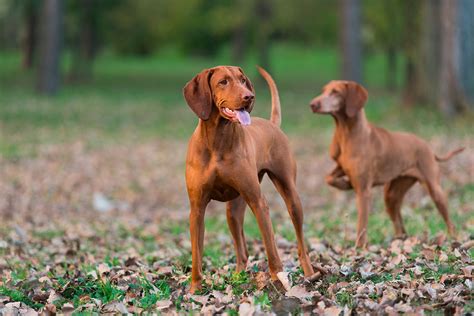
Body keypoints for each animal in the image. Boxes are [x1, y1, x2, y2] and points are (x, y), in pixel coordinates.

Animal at [184, 66, 314, 294]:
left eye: (242, 80)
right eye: (223, 82)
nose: (249, 96)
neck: (217, 141)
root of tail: (272, 124)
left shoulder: (258, 202)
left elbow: (271, 247)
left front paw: (278, 280)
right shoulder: (197, 209)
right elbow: (196, 255)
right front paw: (195, 289)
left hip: (291, 196)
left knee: (300, 243)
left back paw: (309, 274)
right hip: (233, 211)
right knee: (242, 251)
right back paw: (238, 277)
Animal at [310, 80, 464, 248]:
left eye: (335, 92)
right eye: (323, 91)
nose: (312, 104)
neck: (346, 133)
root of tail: (428, 147)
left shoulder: (364, 191)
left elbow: (362, 223)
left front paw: (360, 247)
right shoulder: (341, 167)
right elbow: (328, 178)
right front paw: (345, 184)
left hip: (435, 190)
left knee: (449, 221)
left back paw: (454, 239)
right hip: (391, 194)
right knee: (400, 224)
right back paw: (399, 240)